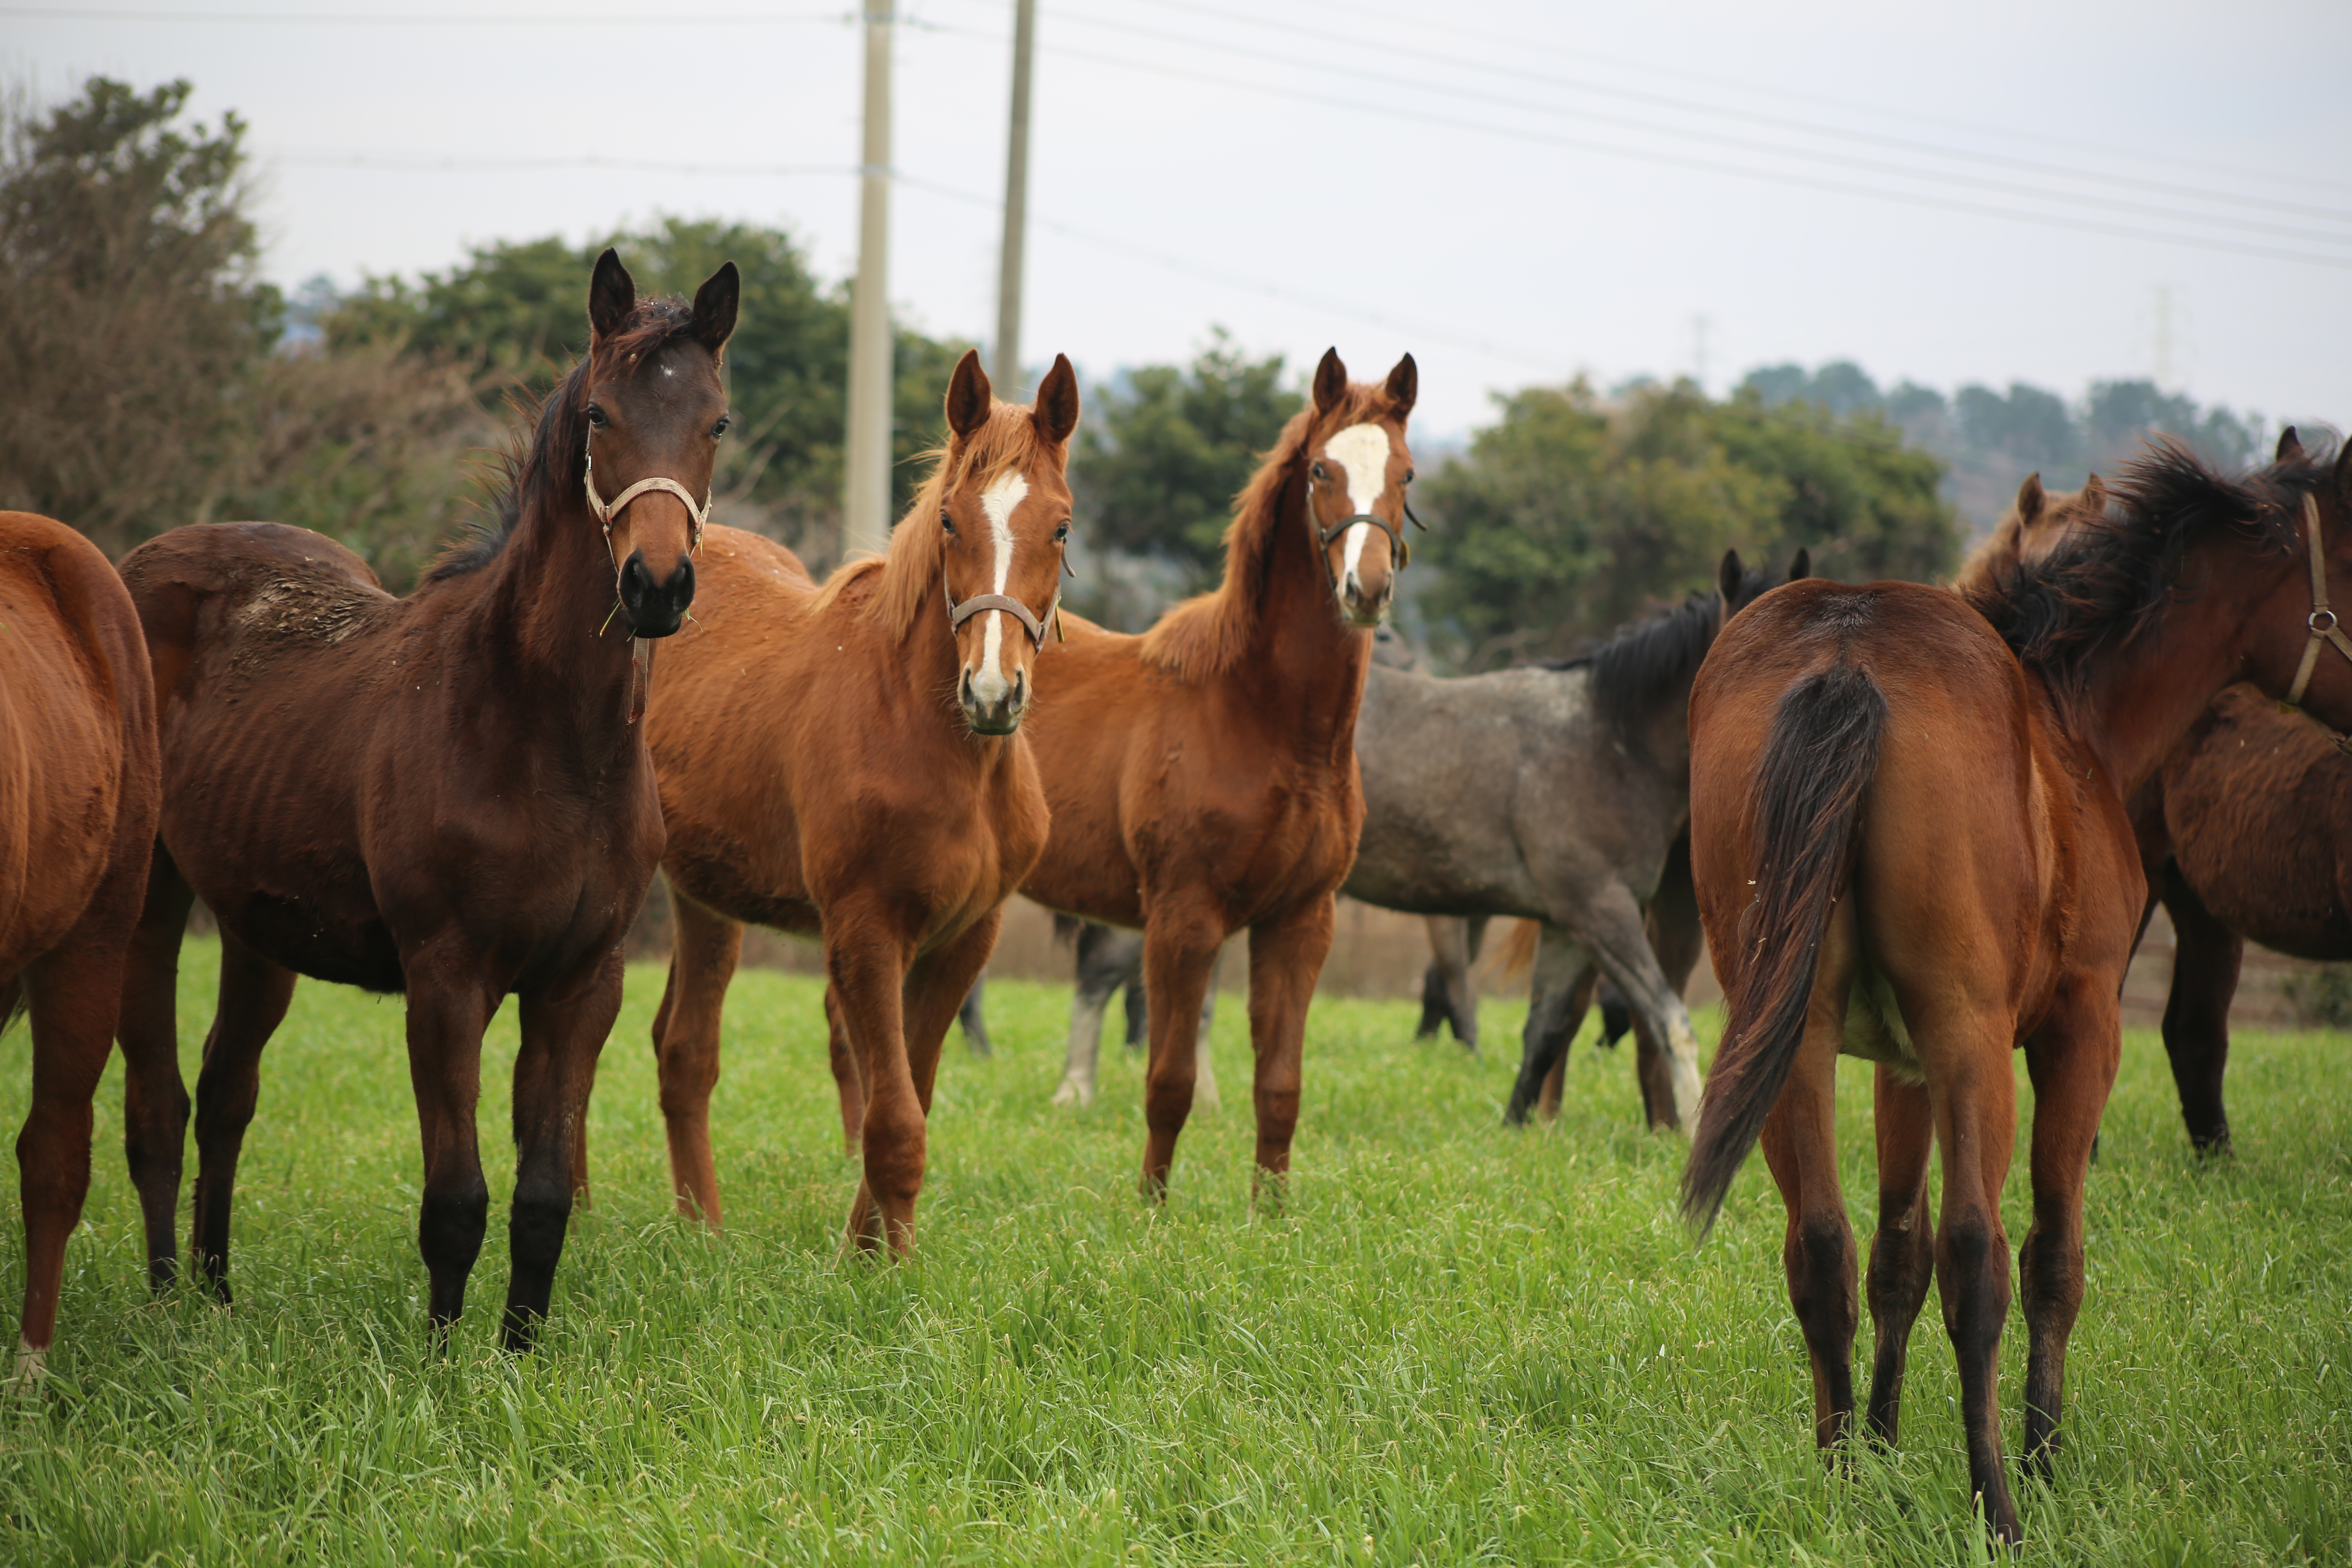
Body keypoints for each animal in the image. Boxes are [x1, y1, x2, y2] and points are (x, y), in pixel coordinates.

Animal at [117, 248, 734, 1354]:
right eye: (600, 416)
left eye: (715, 422)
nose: (656, 585)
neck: (544, 734)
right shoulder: (448, 980)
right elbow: (456, 1195)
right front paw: (445, 1361)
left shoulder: (581, 984)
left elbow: (542, 1195)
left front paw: (519, 1351)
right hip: (152, 897)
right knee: (157, 1105)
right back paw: (163, 1303)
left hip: (259, 928)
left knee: (227, 1091)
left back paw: (217, 1293)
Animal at [621, 350, 1072, 1241]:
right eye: (949, 523)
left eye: (1062, 527)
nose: (993, 693)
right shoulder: (864, 933)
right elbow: (893, 1121)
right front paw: (878, 1267)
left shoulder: (963, 940)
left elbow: (908, 1103)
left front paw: (871, 1248)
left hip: (705, 898)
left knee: (681, 1049)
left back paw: (700, 1229)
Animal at [1345, 552, 1797, 1128]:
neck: (1609, 742)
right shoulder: (1600, 910)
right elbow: (1671, 1020)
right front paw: (1694, 1130)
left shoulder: (1566, 925)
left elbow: (1546, 1032)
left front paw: (1514, 1128)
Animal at [1684, 432, 2352, 1542]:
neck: (2069, 718)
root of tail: (1845, 653)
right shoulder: (2077, 1034)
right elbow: (2049, 1255)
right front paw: (2039, 1458)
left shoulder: (1896, 1065)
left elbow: (1892, 1257)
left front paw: (1881, 1448)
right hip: (1971, 1047)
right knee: (1978, 1254)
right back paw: (1994, 1499)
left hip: (1798, 1038)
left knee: (1820, 1247)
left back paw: (1840, 1489)